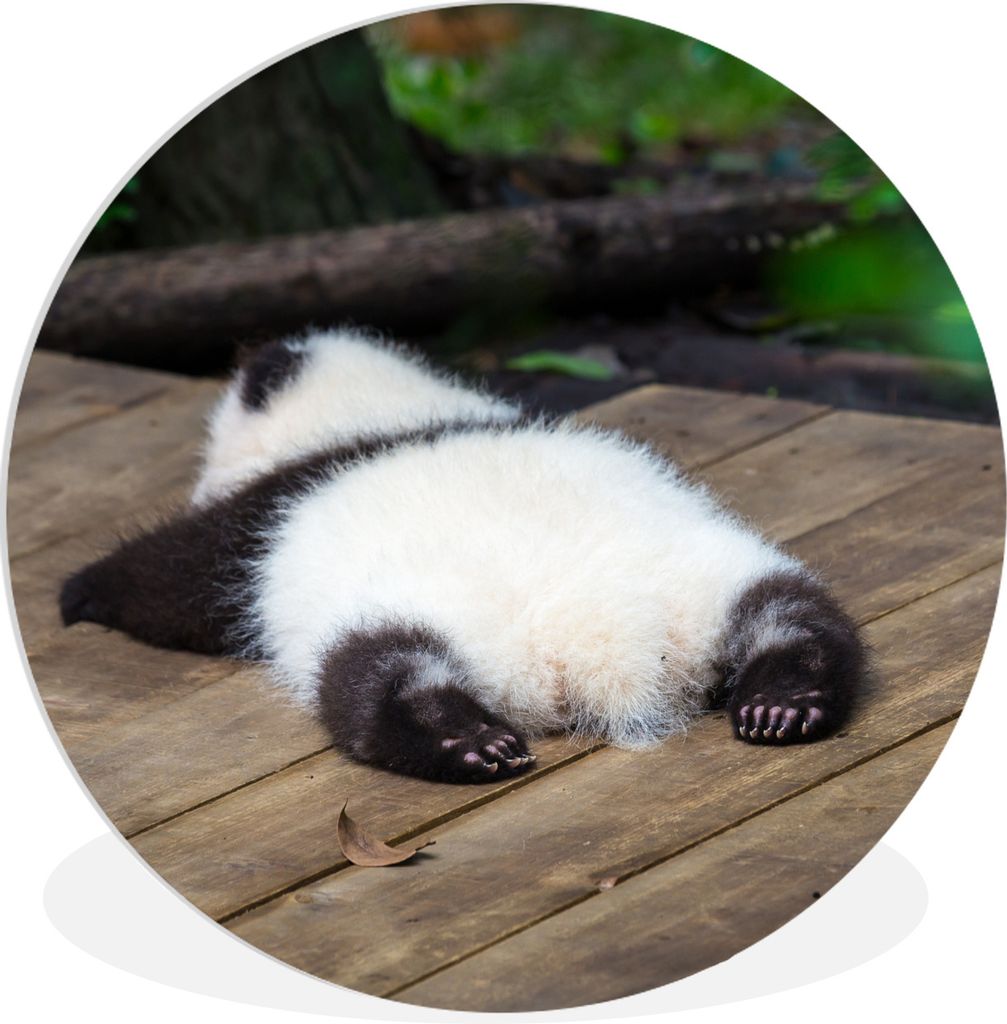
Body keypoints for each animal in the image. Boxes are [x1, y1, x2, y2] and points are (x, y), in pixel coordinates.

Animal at [60, 328, 865, 783]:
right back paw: (783, 701)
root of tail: (600, 639)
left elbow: (174, 581)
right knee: (794, 616)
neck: (382, 412)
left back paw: (463, 742)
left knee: (375, 676)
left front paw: (79, 593)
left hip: (405, 614)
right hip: (710, 573)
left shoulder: (261, 518)